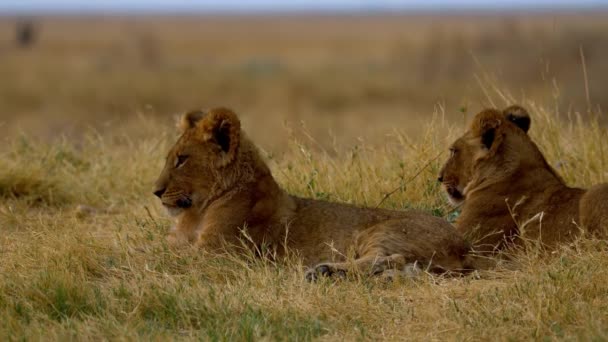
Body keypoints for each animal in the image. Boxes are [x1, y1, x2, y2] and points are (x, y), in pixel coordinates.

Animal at [152, 108, 470, 280]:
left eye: (181, 159)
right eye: (170, 158)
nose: (156, 192)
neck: (196, 212)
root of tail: (463, 244)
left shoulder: (219, 254)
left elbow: (162, 259)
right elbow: (159, 250)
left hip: (383, 231)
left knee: (391, 258)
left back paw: (324, 270)